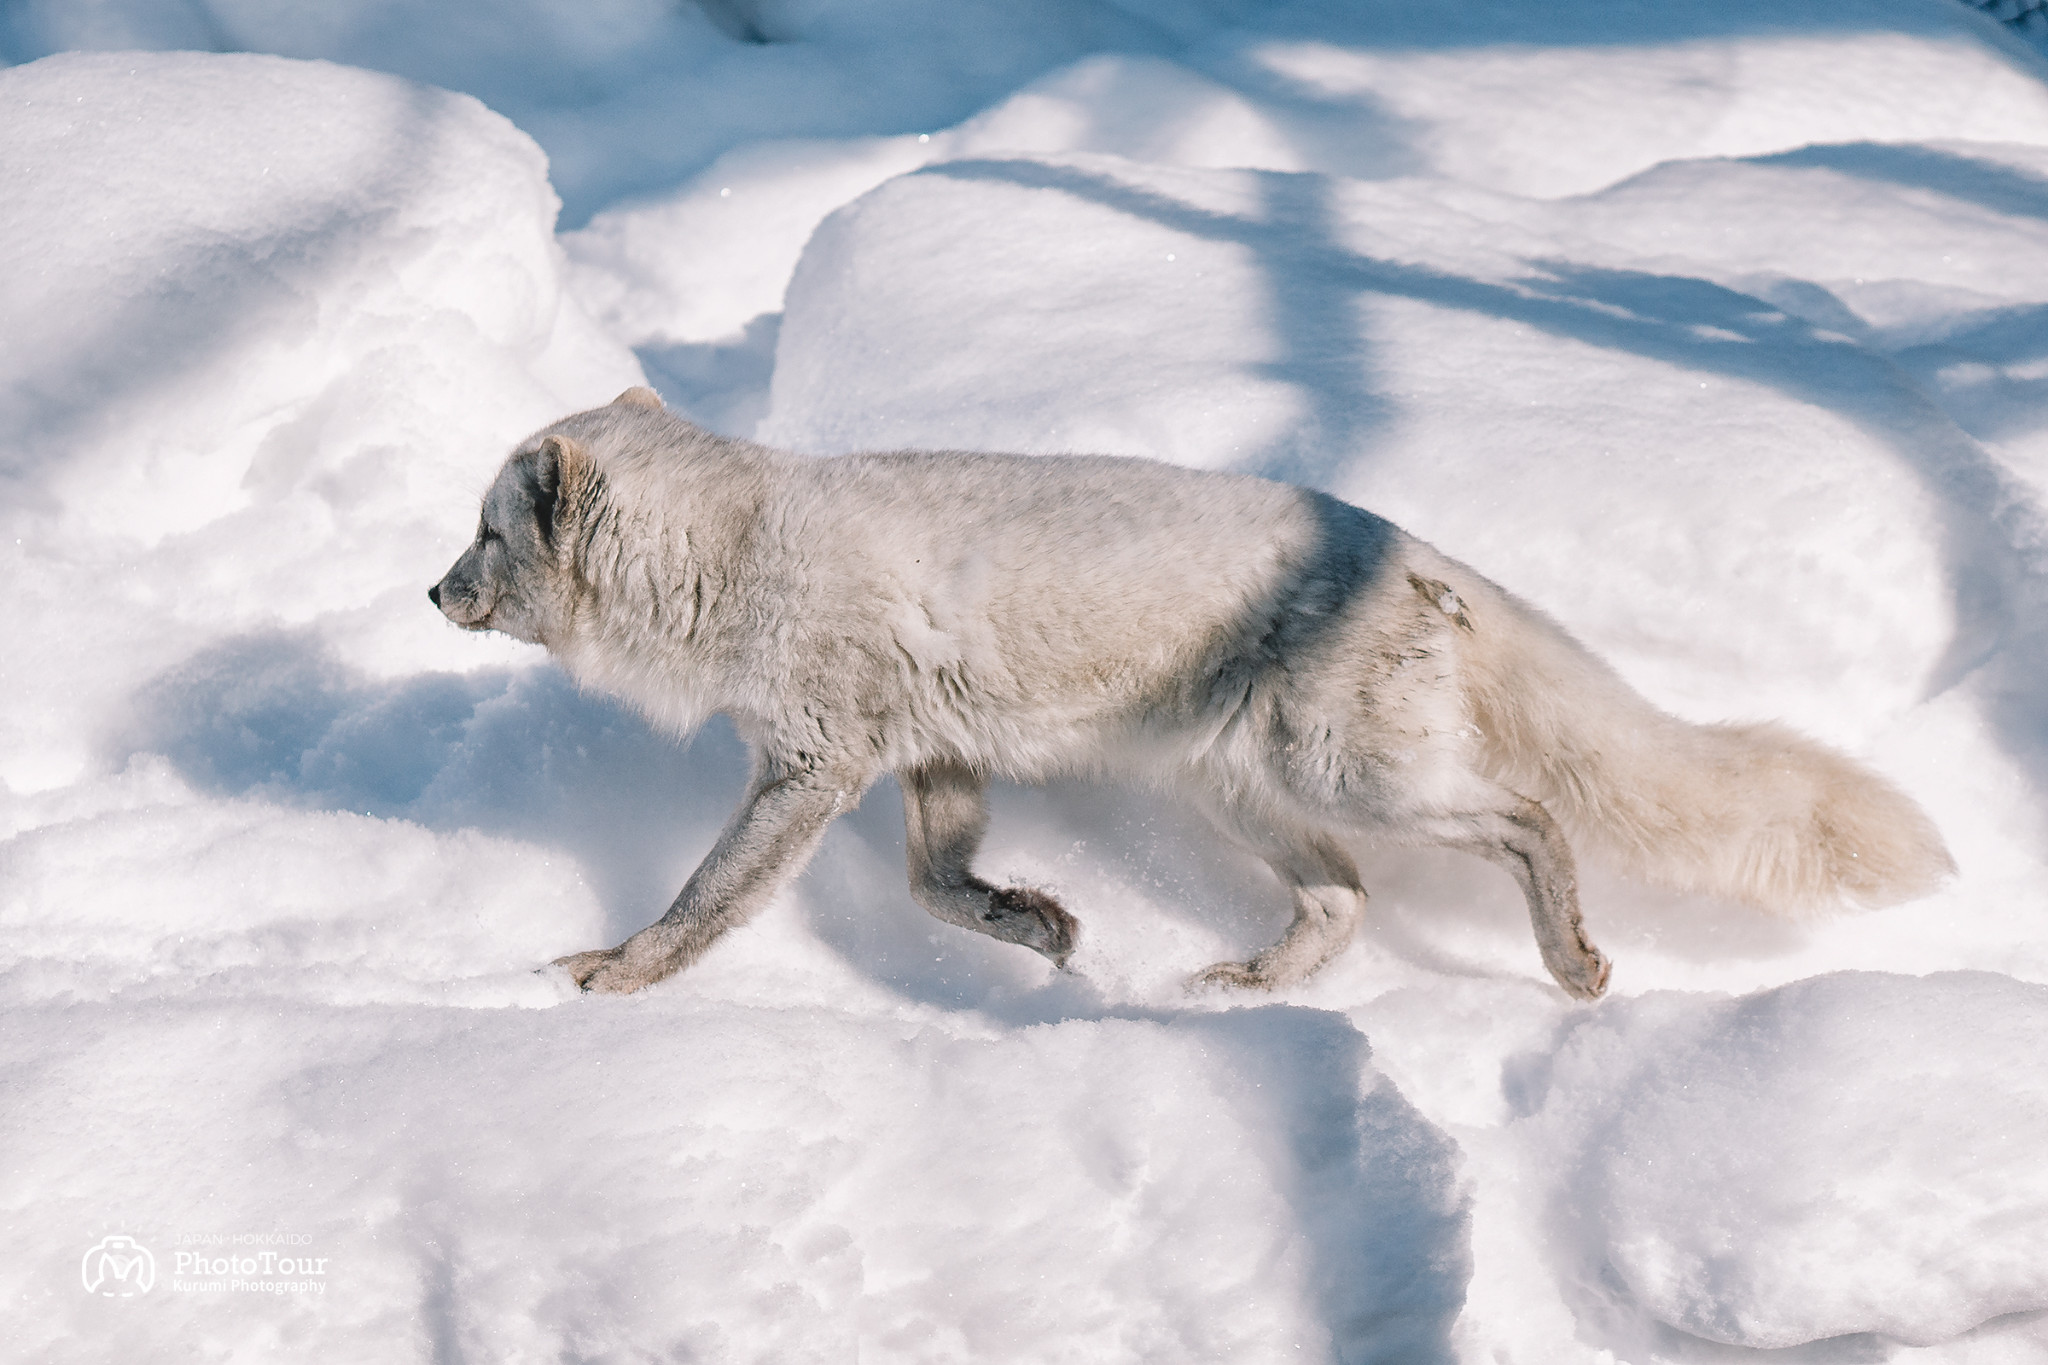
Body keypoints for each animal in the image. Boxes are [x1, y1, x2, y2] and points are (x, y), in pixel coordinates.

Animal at [423, 388, 1941, 998]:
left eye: (486, 535)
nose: (432, 594)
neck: (742, 554)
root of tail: (1404, 544)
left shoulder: (814, 766)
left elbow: (704, 903)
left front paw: (613, 973)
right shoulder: (932, 759)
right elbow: (937, 887)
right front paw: (1035, 929)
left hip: (1350, 777)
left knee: (1527, 823)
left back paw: (1570, 962)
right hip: (1246, 796)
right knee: (1345, 902)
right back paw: (1246, 987)